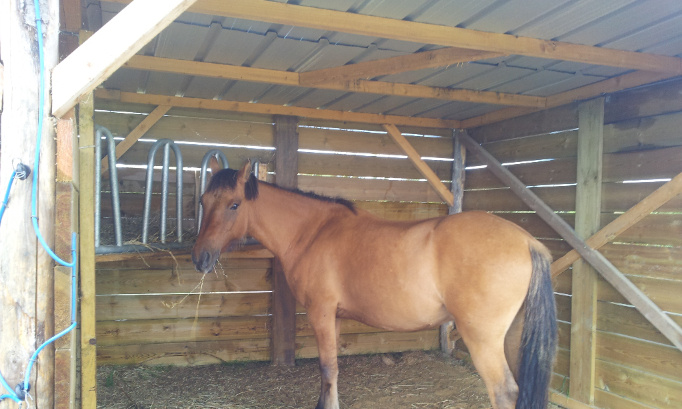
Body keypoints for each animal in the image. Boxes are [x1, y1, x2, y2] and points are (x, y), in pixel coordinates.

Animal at [192, 161, 557, 409]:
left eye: (234, 204)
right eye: (203, 201)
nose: (200, 258)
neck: (314, 231)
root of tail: (527, 242)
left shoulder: (321, 312)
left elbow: (327, 367)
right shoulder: (335, 316)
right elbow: (330, 368)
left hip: (483, 339)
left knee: (504, 393)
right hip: (512, 337)